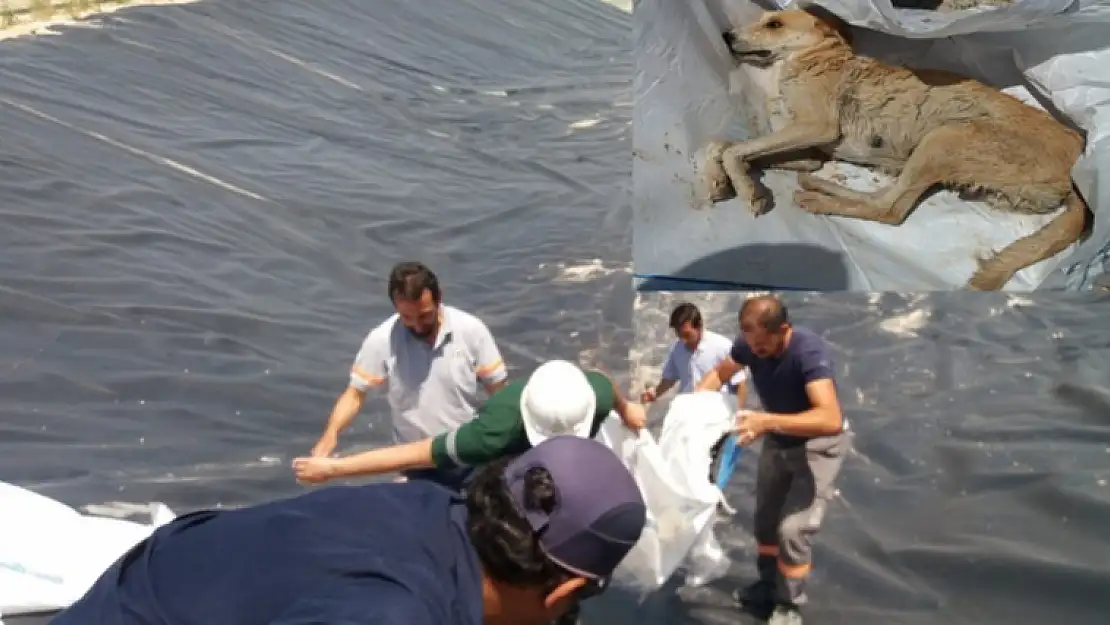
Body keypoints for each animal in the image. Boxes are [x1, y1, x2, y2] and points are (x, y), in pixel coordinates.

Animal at [705, 5, 1087, 293]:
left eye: (774, 24)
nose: (726, 36)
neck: (817, 57)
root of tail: (1076, 165)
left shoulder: (815, 126)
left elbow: (737, 150)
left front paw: (744, 188)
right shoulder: (814, 150)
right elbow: (738, 148)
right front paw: (723, 178)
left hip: (944, 139)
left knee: (890, 210)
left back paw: (819, 199)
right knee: (884, 198)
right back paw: (819, 187)